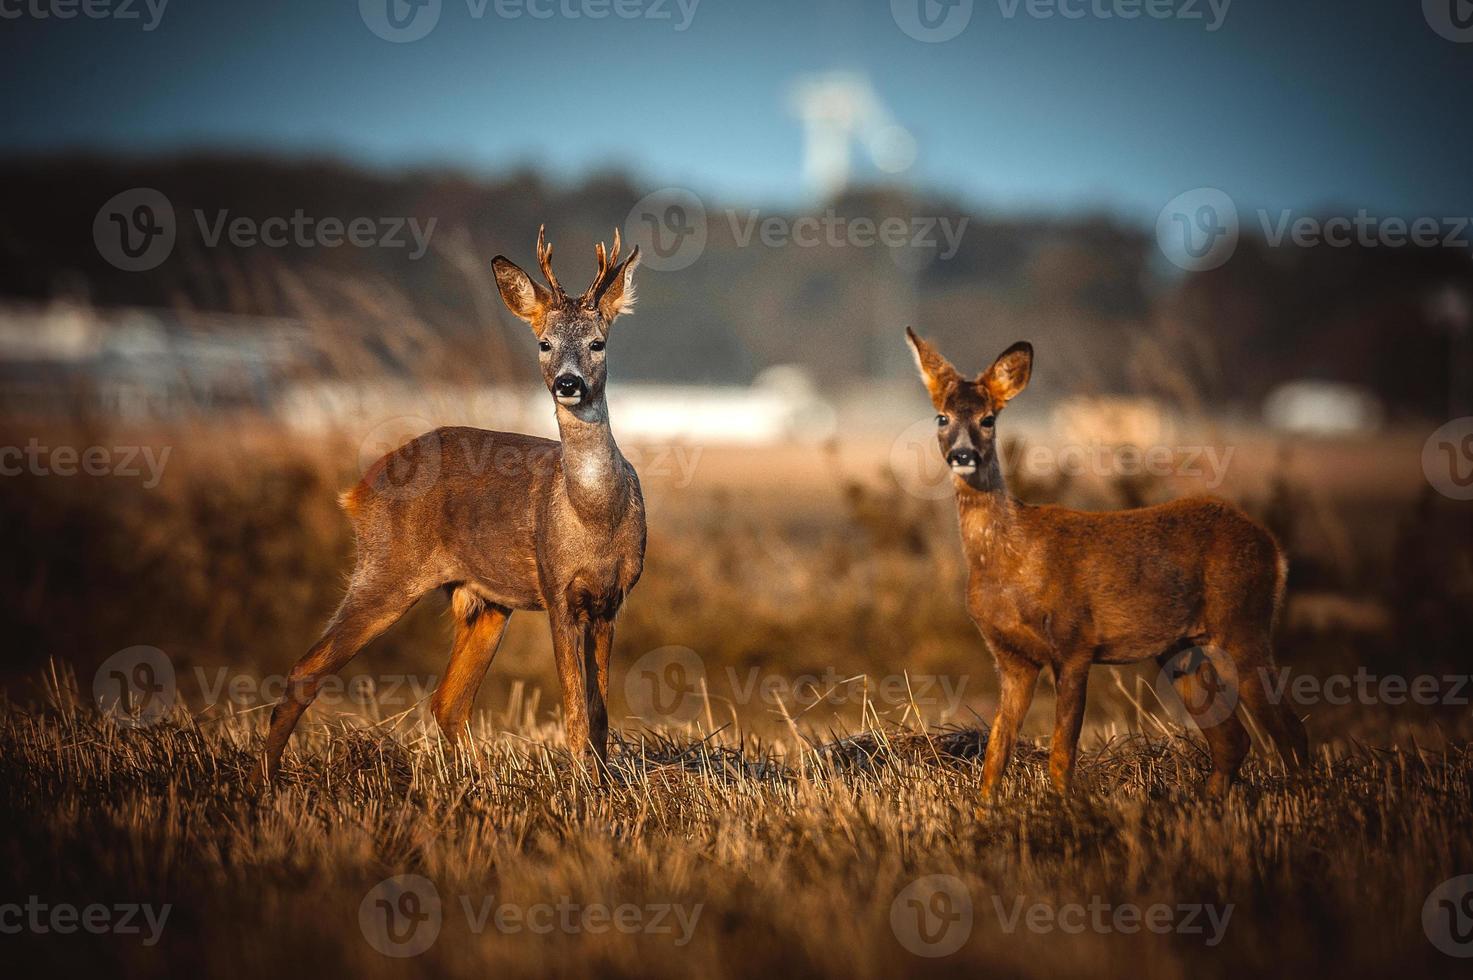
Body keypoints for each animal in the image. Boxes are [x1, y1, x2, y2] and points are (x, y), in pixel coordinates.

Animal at [257, 225, 645, 784]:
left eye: (598, 342)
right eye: (544, 342)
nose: (567, 383)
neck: (595, 518)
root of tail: (359, 489)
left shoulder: (611, 598)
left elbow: (600, 713)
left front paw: (602, 782)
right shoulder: (556, 590)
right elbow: (575, 710)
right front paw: (583, 787)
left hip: (484, 600)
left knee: (448, 701)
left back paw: (483, 780)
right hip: (386, 568)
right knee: (305, 670)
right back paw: (262, 782)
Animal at [901, 324, 1308, 801]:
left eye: (988, 419)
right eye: (942, 418)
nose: (963, 455)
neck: (1009, 559)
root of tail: (1273, 547)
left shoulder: (1075, 643)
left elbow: (1061, 755)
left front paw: (1063, 809)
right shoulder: (1012, 659)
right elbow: (995, 756)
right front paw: (986, 812)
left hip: (1244, 622)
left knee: (1290, 731)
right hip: (1180, 648)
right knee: (1233, 739)